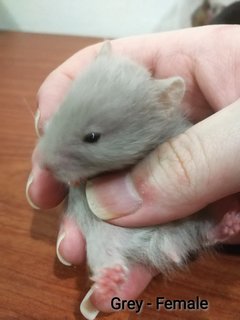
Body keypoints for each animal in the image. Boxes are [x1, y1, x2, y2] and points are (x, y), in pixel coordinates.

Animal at [38, 42, 240, 318]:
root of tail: (164, 249)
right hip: (102, 239)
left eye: (93, 137)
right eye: (60, 111)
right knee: (105, 257)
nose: (42, 164)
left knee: (206, 234)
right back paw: (108, 281)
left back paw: (231, 223)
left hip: (192, 220)